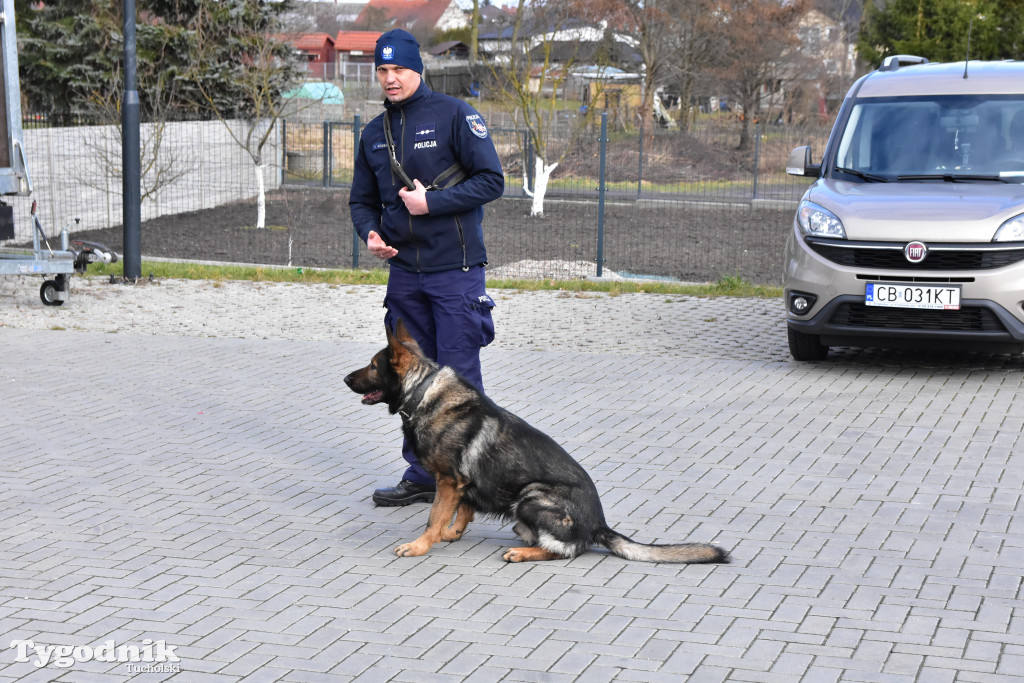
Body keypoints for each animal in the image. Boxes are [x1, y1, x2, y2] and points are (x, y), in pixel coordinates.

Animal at [344, 321, 729, 565]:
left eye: (373, 366)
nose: (345, 378)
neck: (424, 392)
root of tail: (598, 524)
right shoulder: (463, 484)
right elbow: (462, 511)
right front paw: (449, 534)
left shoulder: (448, 481)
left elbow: (433, 517)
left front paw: (420, 546)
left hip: (530, 497)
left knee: (569, 551)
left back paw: (523, 554)